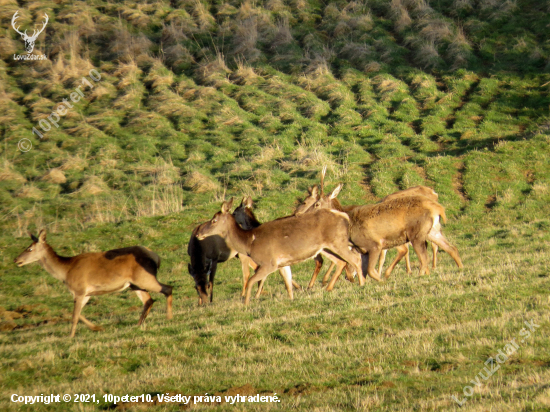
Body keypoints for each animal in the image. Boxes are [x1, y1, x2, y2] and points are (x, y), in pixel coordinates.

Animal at [14, 230, 172, 336]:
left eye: (29, 248)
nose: (16, 260)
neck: (65, 271)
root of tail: (156, 256)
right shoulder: (87, 293)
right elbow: (76, 313)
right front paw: (98, 328)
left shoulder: (79, 289)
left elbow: (74, 315)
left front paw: (71, 336)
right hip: (135, 284)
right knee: (148, 300)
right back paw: (138, 324)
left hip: (144, 278)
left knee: (167, 288)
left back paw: (168, 317)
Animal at [196, 198, 364, 304]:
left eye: (214, 220)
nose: (198, 233)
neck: (249, 242)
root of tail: (343, 215)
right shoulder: (282, 262)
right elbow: (288, 283)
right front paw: (291, 299)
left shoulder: (268, 262)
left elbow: (251, 281)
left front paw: (246, 303)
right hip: (326, 247)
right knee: (343, 261)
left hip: (337, 241)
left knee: (355, 258)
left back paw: (362, 284)